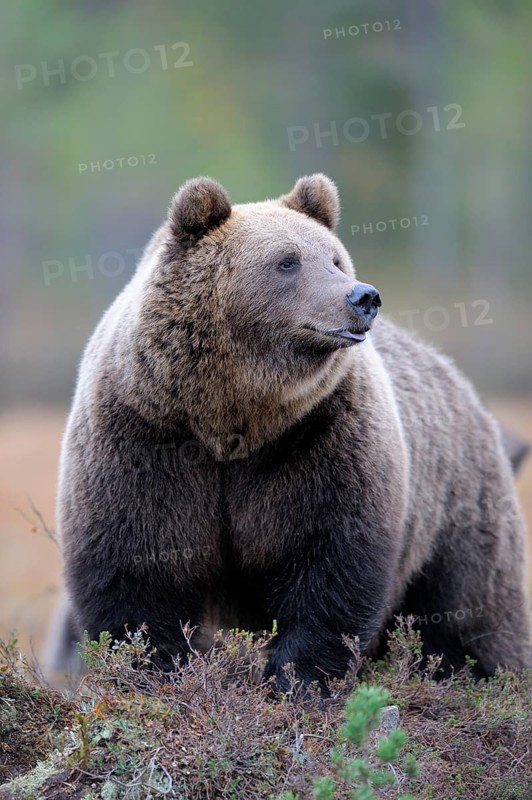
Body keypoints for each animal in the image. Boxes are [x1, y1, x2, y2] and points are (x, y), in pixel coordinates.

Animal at [54, 174, 530, 690]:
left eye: (335, 258)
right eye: (287, 261)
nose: (363, 297)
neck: (233, 416)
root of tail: (462, 384)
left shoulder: (320, 434)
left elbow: (330, 560)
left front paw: (297, 678)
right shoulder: (144, 433)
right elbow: (137, 564)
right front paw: (156, 669)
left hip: (455, 508)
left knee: (470, 607)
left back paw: (485, 672)